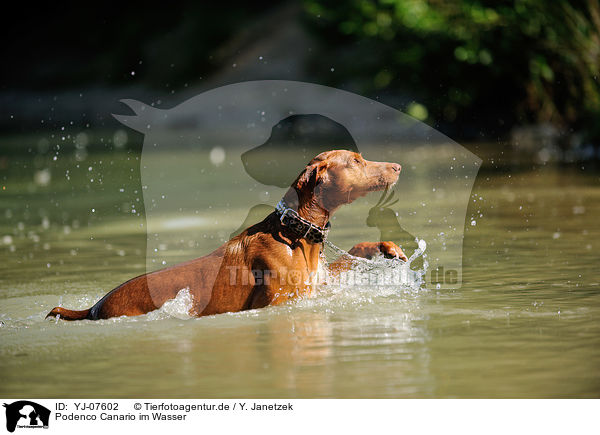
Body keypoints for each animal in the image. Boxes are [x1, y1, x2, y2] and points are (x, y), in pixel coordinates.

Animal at [45, 151, 404, 320]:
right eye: (356, 161)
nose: (398, 167)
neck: (293, 233)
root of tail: (93, 308)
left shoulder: (321, 281)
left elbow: (354, 251)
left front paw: (386, 247)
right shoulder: (283, 300)